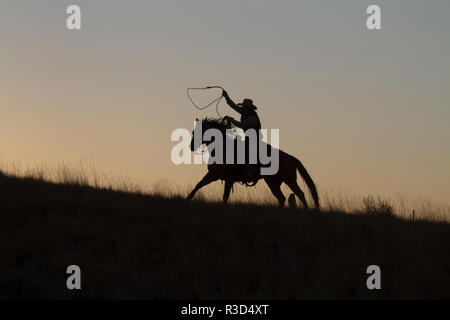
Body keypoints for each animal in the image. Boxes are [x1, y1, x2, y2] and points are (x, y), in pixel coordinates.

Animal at [186, 117, 320, 208]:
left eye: (199, 132)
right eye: (193, 132)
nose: (191, 147)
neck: (223, 148)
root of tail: (290, 157)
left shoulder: (229, 179)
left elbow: (225, 196)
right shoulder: (213, 175)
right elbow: (198, 185)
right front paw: (188, 198)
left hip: (289, 180)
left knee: (300, 194)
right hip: (273, 182)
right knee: (281, 198)